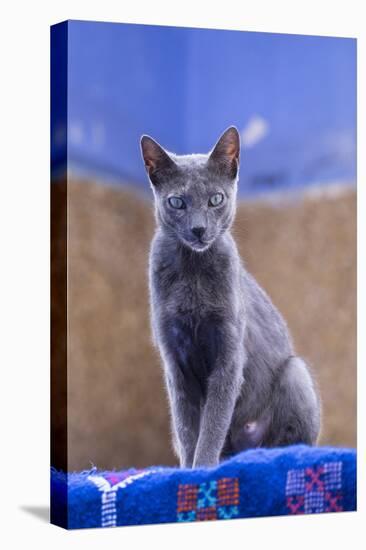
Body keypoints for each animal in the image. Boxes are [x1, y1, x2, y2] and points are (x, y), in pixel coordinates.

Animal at [140, 127, 320, 468]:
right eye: (177, 202)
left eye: (216, 199)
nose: (198, 229)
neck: (192, 273)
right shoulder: (175, 364)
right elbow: (187, 429)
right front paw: (187, 469)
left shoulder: (229, 355)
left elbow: (212, 423)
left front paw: (202, 469)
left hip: (296, 373)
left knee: (292, 442)